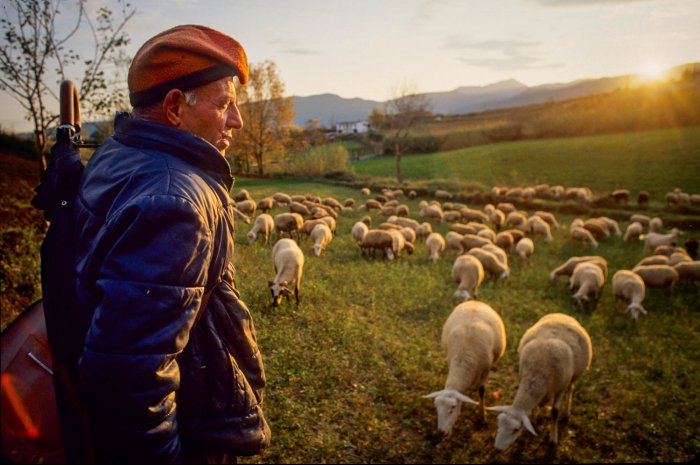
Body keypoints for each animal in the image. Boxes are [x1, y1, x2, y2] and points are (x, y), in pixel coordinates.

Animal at [424, 300, 506, 432]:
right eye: (436, 407)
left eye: (453, 407)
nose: (441, 432)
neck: (463, 360)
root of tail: (475, 301)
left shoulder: (486, 369)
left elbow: (481, 391)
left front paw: (482, 415)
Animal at [490, 312, 592, 450]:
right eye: (498, 423)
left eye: (516, 430)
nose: (497, 448)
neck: (537, 373)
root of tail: (563, 314)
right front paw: (534, 420)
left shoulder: (560, 389)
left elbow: (554, 413)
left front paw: (553, 439)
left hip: (573, 377)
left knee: (571, 389)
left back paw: (567, 413)